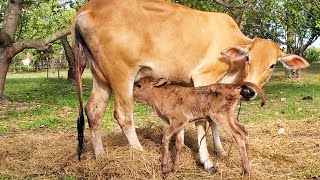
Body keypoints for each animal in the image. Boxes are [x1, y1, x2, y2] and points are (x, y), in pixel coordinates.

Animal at [132, 77, 264, 174]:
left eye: (139, 85)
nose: (130, 92)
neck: (160, 96)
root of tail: (232, 86)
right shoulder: (181, 123)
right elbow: (179, 144)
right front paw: (174, 170)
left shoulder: (177, 119)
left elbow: (166, 137)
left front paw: (164, 169)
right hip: (229, 116)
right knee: (244, 131)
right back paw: (249, 165)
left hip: (220, 116)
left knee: (238, 135)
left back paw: (246, 171)